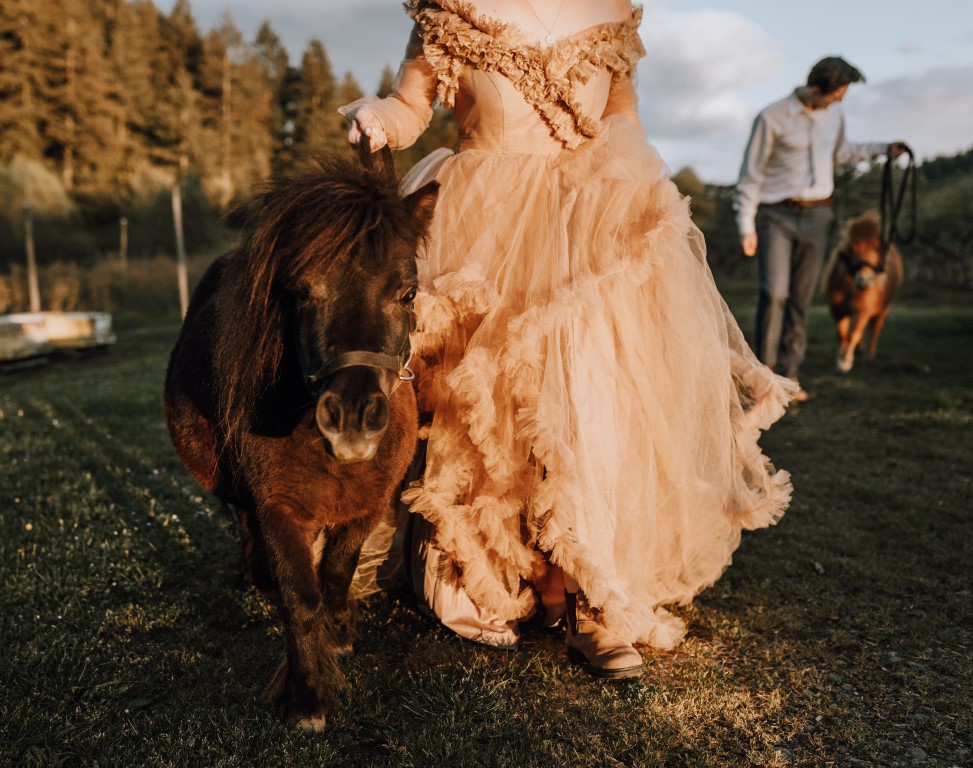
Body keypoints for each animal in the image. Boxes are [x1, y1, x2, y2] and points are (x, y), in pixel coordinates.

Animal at [166, 150, 436, 732]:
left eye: (407, 292)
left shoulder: (367, 506)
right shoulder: (278, 509)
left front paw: (340, 636)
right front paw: (308, 695)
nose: (352, 418)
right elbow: (299, 596)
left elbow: (335, 573)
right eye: (300, 291)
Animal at [828, 210, 904, 372]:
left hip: (883, 308)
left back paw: (869, 354)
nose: (864, 279)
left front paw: (846, 361)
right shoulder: (838, 309)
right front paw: (841, 358)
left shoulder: (865, 309)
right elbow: (842, 333)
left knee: (874, 328)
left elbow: (854, 333)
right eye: (851, 249)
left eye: (876, 248)